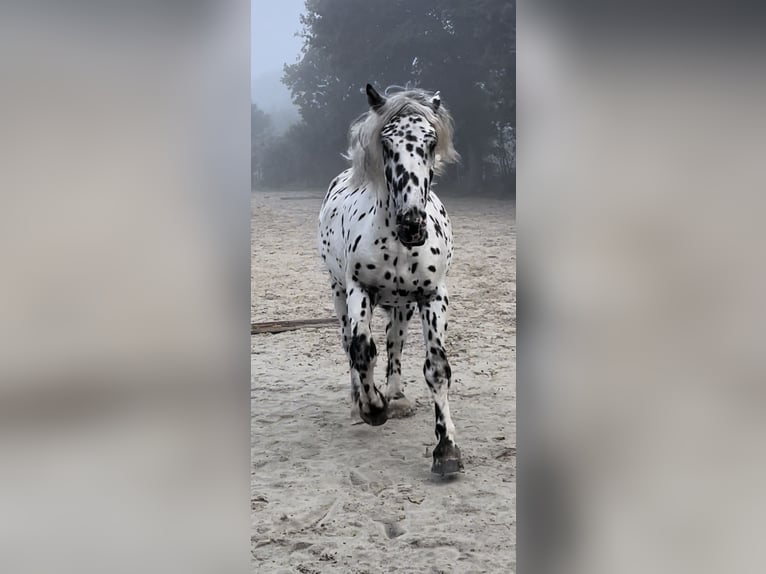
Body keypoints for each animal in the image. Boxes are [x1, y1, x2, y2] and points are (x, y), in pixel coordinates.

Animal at [318, 84, 463, 474]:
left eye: (430, 141)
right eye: (386, 142)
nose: (411, 225)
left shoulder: (433, 296)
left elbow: (436, 367)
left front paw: (446, 449)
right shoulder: (359, 290)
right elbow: (362, 350)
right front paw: (373, 407)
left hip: (402, 305)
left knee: (395, 342)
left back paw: (396, 395)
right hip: (339, 293)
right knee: (350, 344)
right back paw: (361, 400)